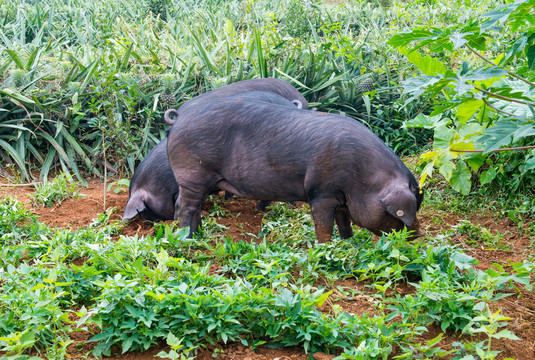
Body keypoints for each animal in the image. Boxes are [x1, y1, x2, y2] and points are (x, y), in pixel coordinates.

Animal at [170, 97, 426, 240]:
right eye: (401, 214)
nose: (418, 235)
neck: (363, 178)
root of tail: (180, 118)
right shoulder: (321, 193)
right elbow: (323, 226)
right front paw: (325, 248)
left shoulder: (342, 200)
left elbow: (345, 224)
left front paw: (348, 243)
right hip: (192, 173)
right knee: (184, 208)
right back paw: (187, 240)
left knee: (195, 208)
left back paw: (199, 236)